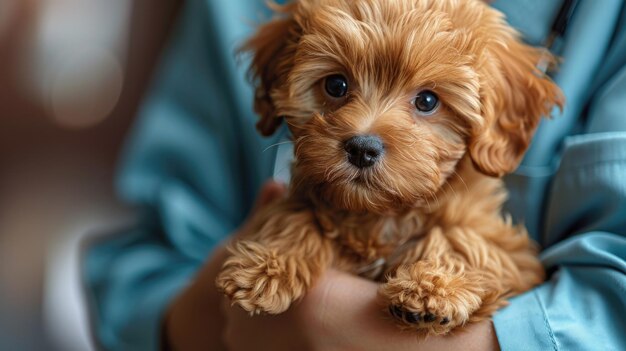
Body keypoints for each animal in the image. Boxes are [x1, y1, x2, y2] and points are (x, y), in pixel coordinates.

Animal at [214, 0, 560, 336]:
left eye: (427, 101)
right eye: (336, 85)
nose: (362, 148)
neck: (381, 217)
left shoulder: (516, 255)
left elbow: (462, 237)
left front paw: (434, 287)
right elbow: (296, 213)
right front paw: (266, 264)